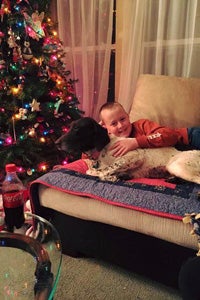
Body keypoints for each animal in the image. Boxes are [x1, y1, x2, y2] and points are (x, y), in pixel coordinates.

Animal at [57, 116, 200, 183]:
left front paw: (112, 177)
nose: (56, 143)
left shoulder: (135, 156)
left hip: (176, 165)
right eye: (70, 127)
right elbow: (93, 170)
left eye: (77, 129)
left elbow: (100, 171)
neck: (101, 149)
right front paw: (119, 175)